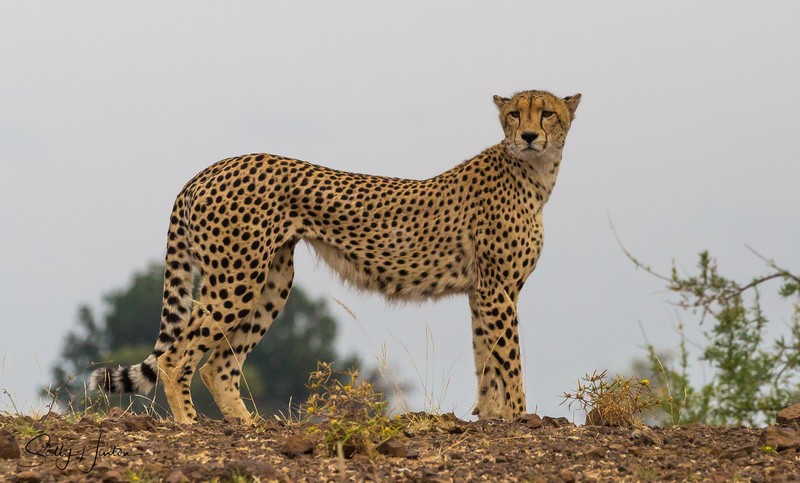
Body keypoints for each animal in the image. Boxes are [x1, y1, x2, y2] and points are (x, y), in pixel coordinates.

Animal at [90, 89, 581, 423]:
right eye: (515, 113)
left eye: (547, 113)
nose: (530, 135)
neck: (534, 175)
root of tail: (207, 170)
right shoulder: (498, 289)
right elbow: (509, 358)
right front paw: (521, 417)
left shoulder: (484, 291)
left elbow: (486, 357)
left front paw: (492, 416)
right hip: (236, 277)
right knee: (177, 356)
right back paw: (191, 425)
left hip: (272, 280)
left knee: (219, 364)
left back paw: (250, 427)